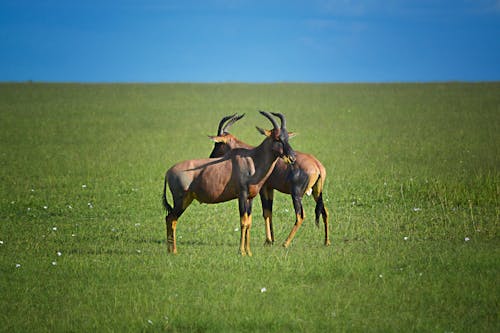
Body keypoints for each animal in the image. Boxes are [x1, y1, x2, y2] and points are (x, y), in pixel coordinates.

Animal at [163, 111, 296, 254]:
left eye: (287, 137)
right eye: (277, 138)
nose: (292, 158)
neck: (252, 159)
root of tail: (168, 172)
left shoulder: (250, 198)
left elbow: (249, 222)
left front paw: (249, 252)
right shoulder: (241, 195)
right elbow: (243, 221)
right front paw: (241, 251)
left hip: (187, 199)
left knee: (170, 218)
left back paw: (170, 250)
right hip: (180, 200)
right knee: (171, 218)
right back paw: (173, 251)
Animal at [209, 114, 330, 246]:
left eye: (217, 144)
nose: (211, 157)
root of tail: (317, 165)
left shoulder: (263, 188)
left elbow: (265, 212)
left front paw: (268, 240)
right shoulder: (270, 188)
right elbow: (269, 212)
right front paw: (271, 239)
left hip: (296, 194)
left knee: (300, 216)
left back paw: (285, 243)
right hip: (317, 193)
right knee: (325, 212)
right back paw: (327, 242)